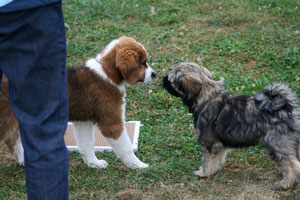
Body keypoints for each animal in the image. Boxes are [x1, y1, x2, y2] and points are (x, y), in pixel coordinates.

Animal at [1, 36, 157, 169]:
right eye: (143, 63)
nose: (154, 74)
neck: (107, 73)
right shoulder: (112, 122)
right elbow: (126, 147)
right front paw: (137, 165)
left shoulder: (83, 121)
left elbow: (87, 144)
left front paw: (94, 163)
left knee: (12, 140)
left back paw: (23, 160)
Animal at [163, 61, 300, 190]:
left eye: (171, 79)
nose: (163, 80)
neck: (206, 96)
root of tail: (288, 107)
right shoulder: (219, 145)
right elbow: (217, 159)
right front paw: (214, 170)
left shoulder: (209, 143)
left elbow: (207, 161)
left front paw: (203, 173)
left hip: (277, 144)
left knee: (293, 165)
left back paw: (285, 184)